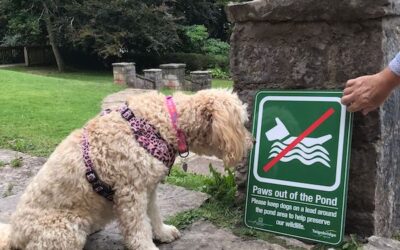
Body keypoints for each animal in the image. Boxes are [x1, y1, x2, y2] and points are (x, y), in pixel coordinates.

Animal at [0, 89, 252, 249]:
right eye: (242, 124)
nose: (254, 142)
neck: (164, 123)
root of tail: (14, 235)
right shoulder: (131, 192)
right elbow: (138, 228)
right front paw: (148, 246)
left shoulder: (148, 189)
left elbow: (154, 215)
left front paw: (162, 233)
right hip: (65, 229)